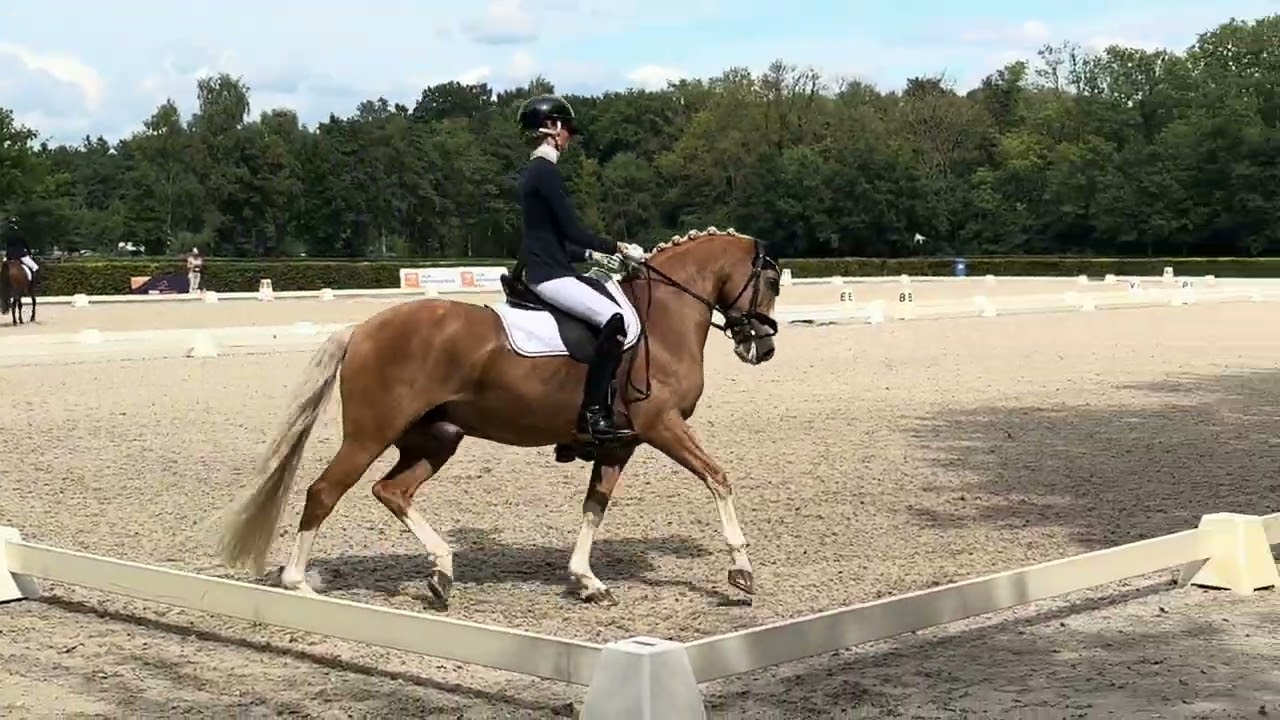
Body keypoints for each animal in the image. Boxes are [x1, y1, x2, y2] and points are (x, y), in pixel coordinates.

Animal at [218, 226, 782, 607]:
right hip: (369, 435)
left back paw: (442, 573)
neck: (661, 320)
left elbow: (594, 508)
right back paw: (299, 584)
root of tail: (361, 329)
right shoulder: (662, 426)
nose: (763, 347)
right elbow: (718, 478)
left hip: (436, 437)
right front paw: (742, 572)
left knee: (392, 491)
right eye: (772, 280)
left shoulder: (620, 442)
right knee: (324, 492)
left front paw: (586, 581)